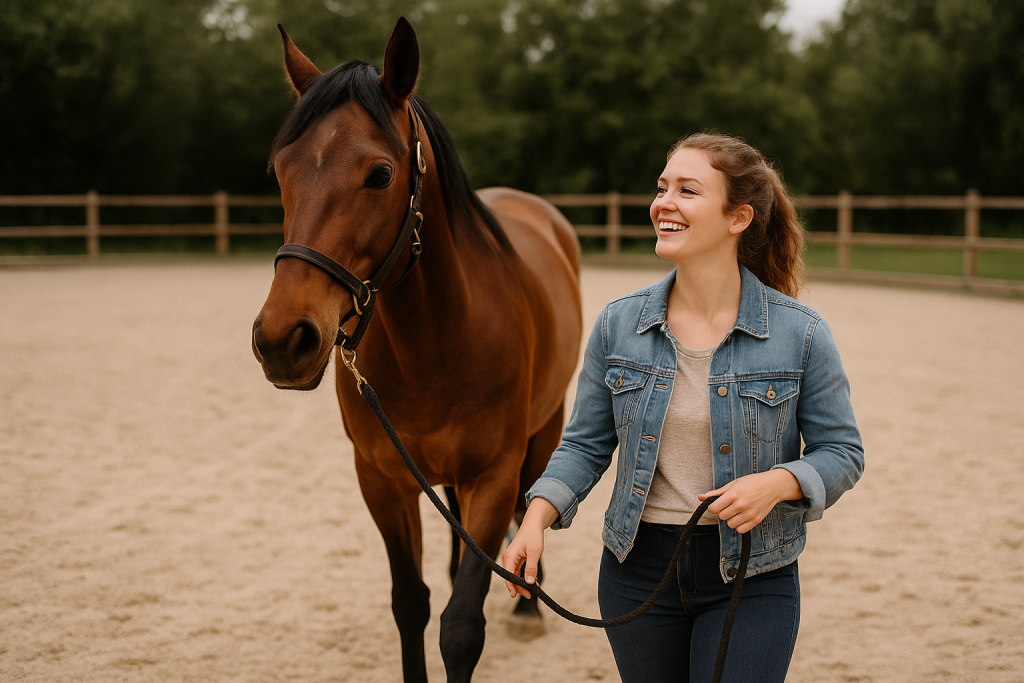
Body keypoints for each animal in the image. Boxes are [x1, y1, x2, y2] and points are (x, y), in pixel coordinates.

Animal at [251, 18, 582, 683]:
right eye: (280, 172)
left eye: (380, 174)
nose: (281, 340)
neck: (435, 341)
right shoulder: (383, 480)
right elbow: (411, 606)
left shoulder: (493, 476)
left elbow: (460, 627)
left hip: (543, 434)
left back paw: (528, 605)